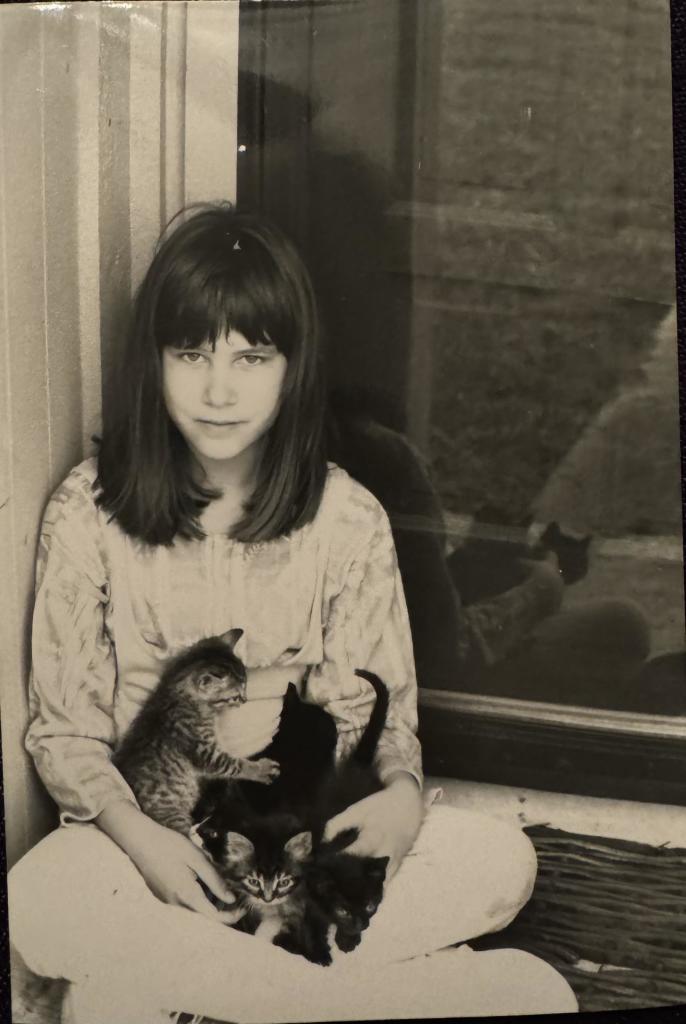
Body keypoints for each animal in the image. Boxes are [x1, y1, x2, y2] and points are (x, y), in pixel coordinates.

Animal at [115, 626, 278, 835]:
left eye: (246, 687)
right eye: (235, 696)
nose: (245, 699)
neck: (174, 692)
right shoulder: (204, 751)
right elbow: (234, 765)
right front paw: (261, 770)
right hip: (174, 815)